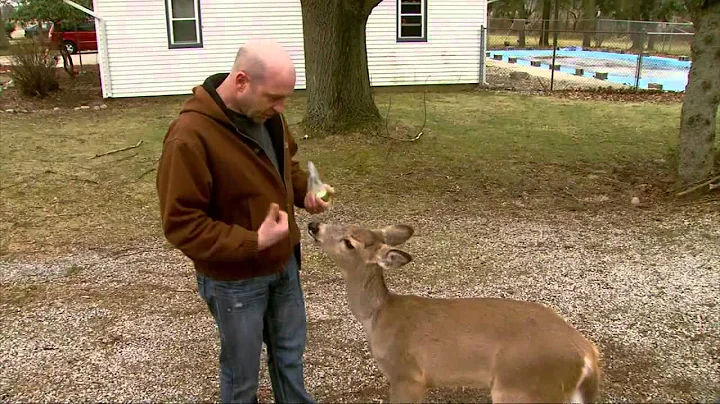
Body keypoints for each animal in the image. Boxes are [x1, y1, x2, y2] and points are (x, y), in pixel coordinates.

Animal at [306, 221, 600, 404]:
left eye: (348, 243)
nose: (313, 225)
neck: (379, 317)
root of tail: (588, 354)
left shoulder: (407, 375)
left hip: (522, 387)